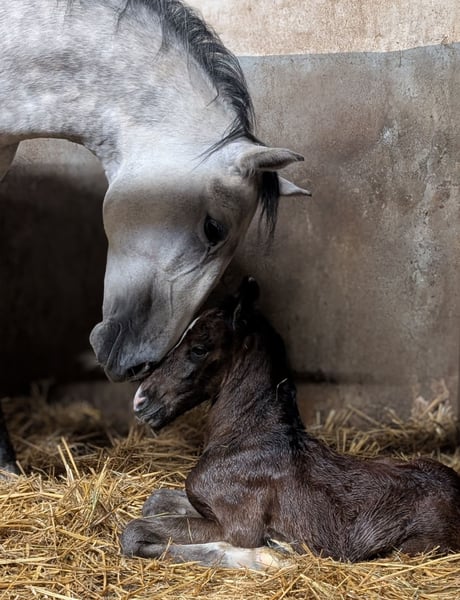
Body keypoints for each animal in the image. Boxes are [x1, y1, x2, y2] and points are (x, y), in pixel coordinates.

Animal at [121, 277, 460, 569]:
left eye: (199, 348)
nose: (140, 401)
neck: (247, 439)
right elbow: (155, 501)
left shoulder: (235, 527)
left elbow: (134, 533)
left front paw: (265, 557)